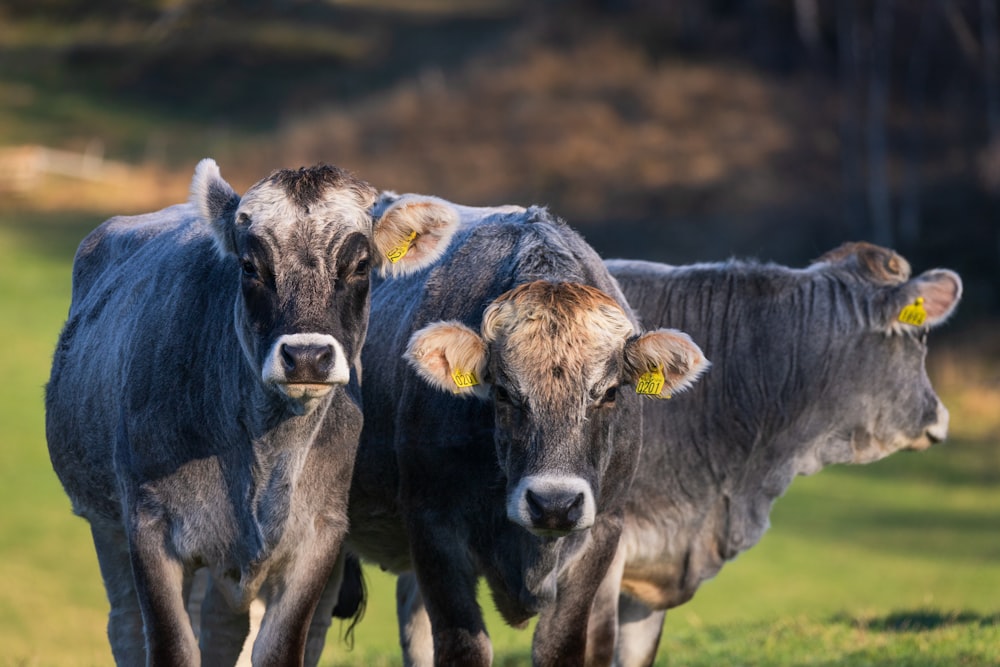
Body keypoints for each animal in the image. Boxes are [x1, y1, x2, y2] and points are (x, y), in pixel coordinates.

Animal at [43, 162, 458, 667]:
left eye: (361, 266)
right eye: (250, 266)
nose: (307, 356)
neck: (266, 452)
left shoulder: (318, 536)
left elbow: (279, 649)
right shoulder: (148, 527)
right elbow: (170, 647)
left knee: (222, 632)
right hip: (106, 524)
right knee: (125, 627)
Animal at [332, 194, 708, 667]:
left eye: (607, 394)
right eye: (505, 393)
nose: (554, 504)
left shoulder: (603, 531)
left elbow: (561, 645)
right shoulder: (433, 529)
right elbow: (464, 647)